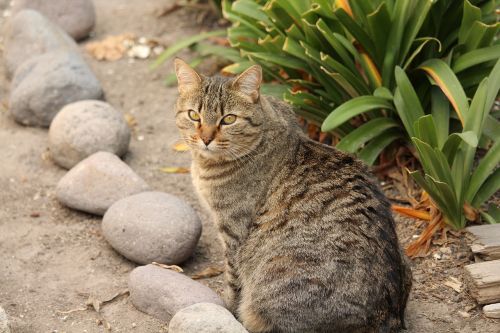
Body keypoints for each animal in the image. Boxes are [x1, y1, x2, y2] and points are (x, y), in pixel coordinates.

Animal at [174, 59, 412, 332]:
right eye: (194, 115)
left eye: (229, 119)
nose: (205, 138)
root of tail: (387, 316)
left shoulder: (233, 230)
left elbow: (233, 280)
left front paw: (227, 308)